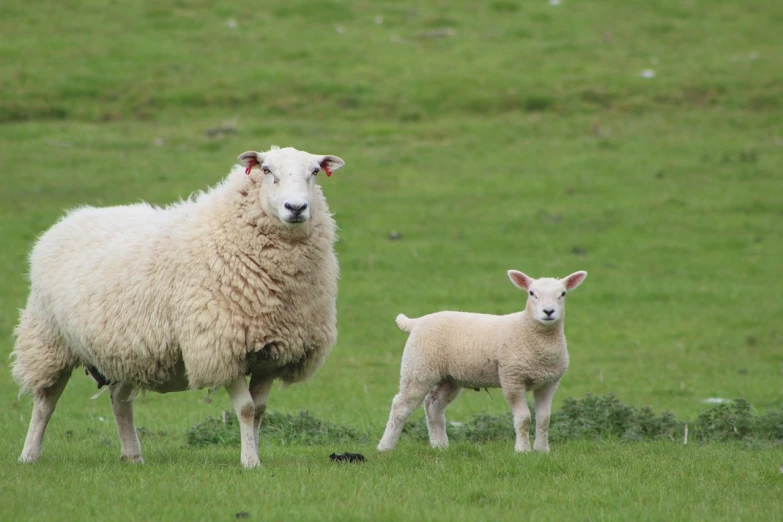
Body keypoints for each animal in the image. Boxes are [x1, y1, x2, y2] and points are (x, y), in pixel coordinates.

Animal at [9, 145, 346, 468]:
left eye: (315, 172)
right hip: (49, 340)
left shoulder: (271, 356)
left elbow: (260, 410)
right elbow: (247, 409)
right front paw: (250, 462)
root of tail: (69, 219)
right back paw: (29, 455)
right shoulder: (220, 346)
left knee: (119, 399)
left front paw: (255, 452)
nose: (296, 208)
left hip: (127, 349)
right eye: (266, 170)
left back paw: (132, 455)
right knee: (46, 401)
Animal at [378, 268, 588, 450]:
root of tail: (417, 322)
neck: (528, 331)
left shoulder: (549, 382)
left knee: (433, 404)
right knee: (400, 406)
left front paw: (542, 450)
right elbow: (523, 418)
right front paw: (522, 450)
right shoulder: (512, 379)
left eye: (563, 294)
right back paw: (385, 447)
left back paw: (440, 446)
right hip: (418, 368)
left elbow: (544, 419)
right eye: (531, 293)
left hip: (450, 377)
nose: (548, 312)